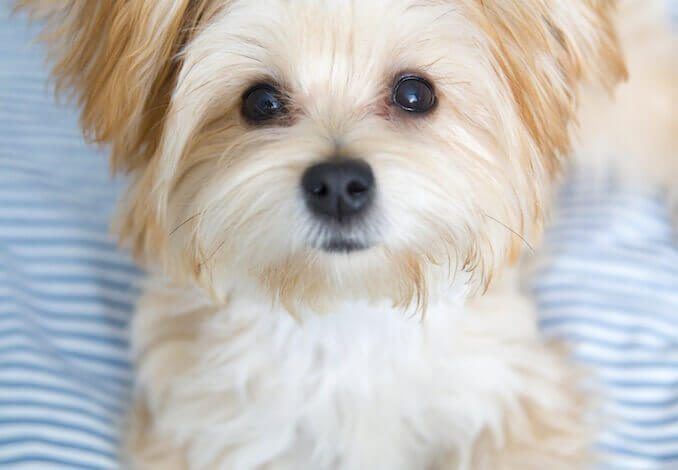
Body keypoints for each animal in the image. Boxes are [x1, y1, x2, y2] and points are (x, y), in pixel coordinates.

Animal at [18, 0, 676, 468]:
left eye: (414, 93)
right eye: (261, 101)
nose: (337, 184)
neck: (346, 318)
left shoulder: (518, 395)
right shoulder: (199, 425)